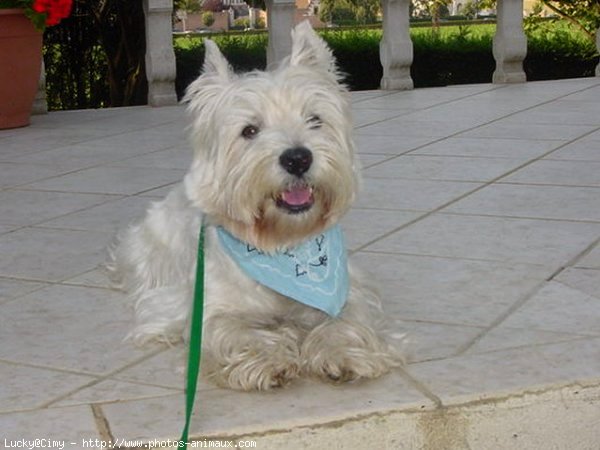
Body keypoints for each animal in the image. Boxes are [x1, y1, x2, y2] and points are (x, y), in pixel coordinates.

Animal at [108, 22, 400, 390]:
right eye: (250, 130)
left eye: (314, 120)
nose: (298, 158)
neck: (282, 245)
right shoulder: (203, 305)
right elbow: (230, 328)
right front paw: (267, 359)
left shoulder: (348, 292)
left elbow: (347, 321)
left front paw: (340, 354)